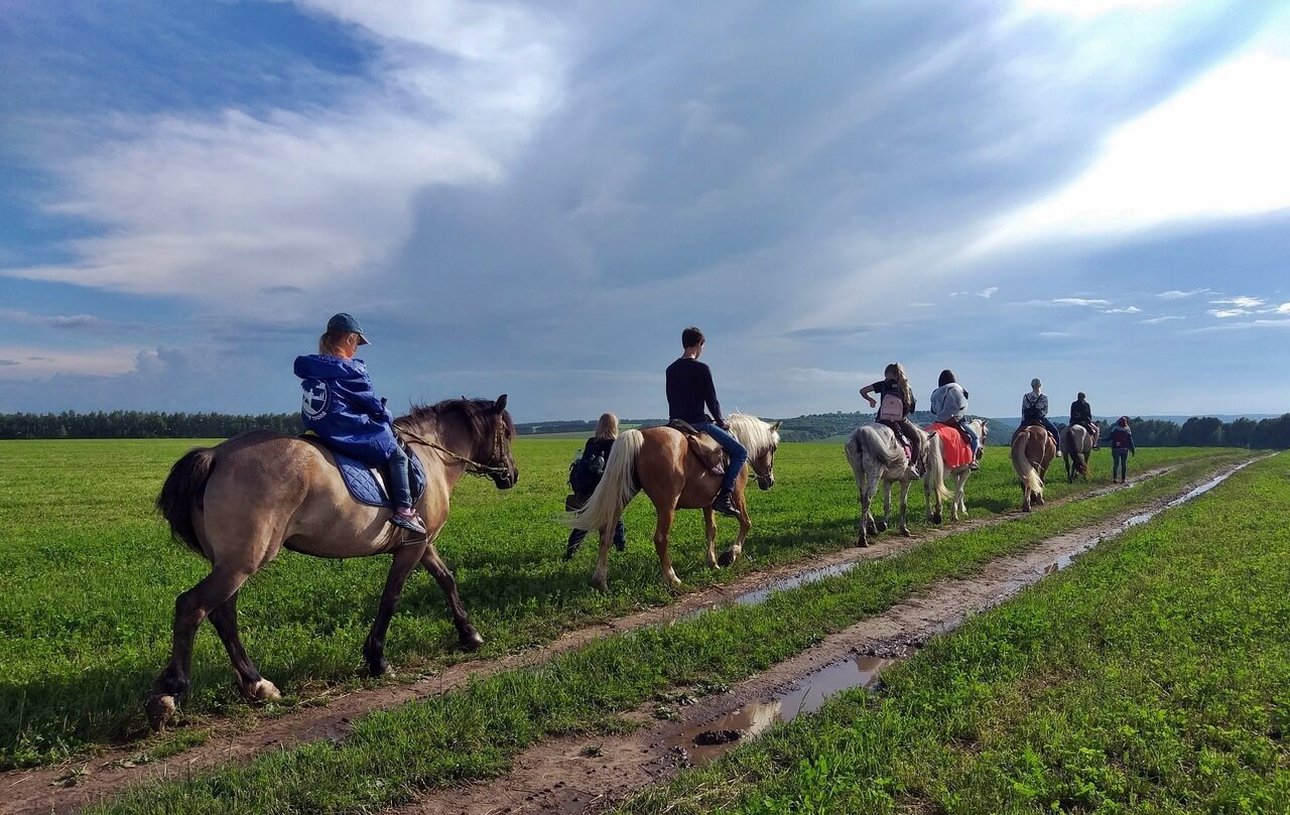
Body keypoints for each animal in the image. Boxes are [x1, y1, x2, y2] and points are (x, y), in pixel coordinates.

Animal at [147, 394, 518, 727]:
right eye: (507, 432)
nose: (512, 475)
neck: (431, 456)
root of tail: (216, 455)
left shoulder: (421, 544)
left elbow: (446, 580)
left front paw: (469, 635)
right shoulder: (414, 547)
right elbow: (391, 598)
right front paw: (378, 660)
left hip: (230, 564)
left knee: (223, 614)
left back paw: (257, 685)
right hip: (241, 563)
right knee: (192, 606)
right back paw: (170, 694)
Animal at [567, 412, 784, 593]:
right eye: (773, 448)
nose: (769, 481)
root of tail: (640, 435)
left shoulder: (708, 503)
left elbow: (711, 530)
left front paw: (713, 562)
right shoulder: (738, 495)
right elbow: (746, 523)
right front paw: (731, 554)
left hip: (622, 496)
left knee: (607, 533)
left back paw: (600, 581)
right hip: (667, 505)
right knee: (660, 539)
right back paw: (672, 578)